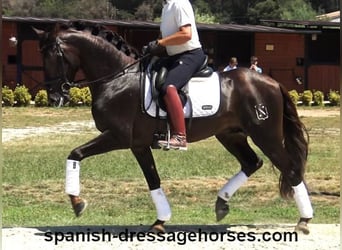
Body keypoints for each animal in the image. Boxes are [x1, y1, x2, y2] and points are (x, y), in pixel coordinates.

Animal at [33, 22, 314, 233]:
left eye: (53, 55)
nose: (55, 97)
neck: (117, 78)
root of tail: (271, 82)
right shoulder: (137, 144)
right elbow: (153, 179)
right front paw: (160, 221)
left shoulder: (117, 137)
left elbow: (75, 153)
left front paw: (77, 203)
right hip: (230, 135)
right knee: (252, 163)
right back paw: (221, 204)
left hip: (266, 135)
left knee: (290, 169)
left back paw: (304, 221)